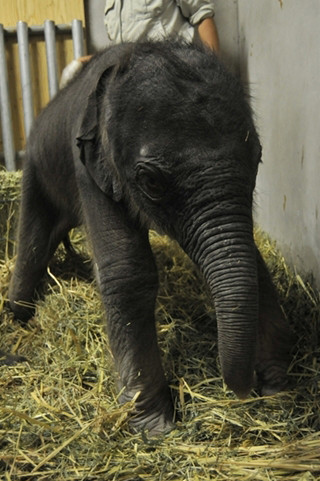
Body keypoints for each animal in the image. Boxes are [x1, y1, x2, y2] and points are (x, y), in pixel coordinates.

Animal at [8, 40, 294, 432]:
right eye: (151, 182)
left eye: (258, 158)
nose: (245, 390)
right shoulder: (88, 168)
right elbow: (128, 270)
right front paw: (153, 426)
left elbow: (249, 255)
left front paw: (277, 385)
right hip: (37, 167)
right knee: (33, 242)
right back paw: (17, 317)